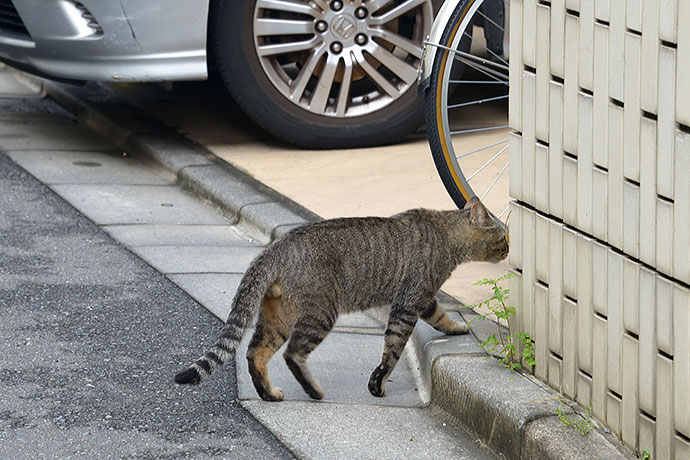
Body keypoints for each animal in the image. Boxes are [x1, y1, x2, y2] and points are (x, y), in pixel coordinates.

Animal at [173, 198, 506, 402]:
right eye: (504, 237)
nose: (509, 248)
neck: (445, 234)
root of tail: (274, 249)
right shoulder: (409, 302)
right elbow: (393, 349)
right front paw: (377, 384)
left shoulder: (422, 300)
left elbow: (440, 317)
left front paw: (457, 328)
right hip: (321, 313)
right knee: (292, 354)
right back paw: (313, 391)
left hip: (277, 318)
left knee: (255, 353)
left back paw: (270, 394)